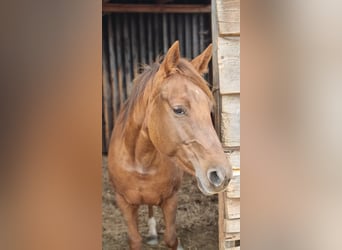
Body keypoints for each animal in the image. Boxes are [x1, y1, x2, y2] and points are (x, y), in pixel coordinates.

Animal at [108, 41, 234, 250]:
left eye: (209, 109)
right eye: (178, 110)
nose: (222, 175)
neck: (141, 162)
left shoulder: (170, 200)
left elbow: (171, 239)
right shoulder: (124, 203)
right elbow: (135, 240)